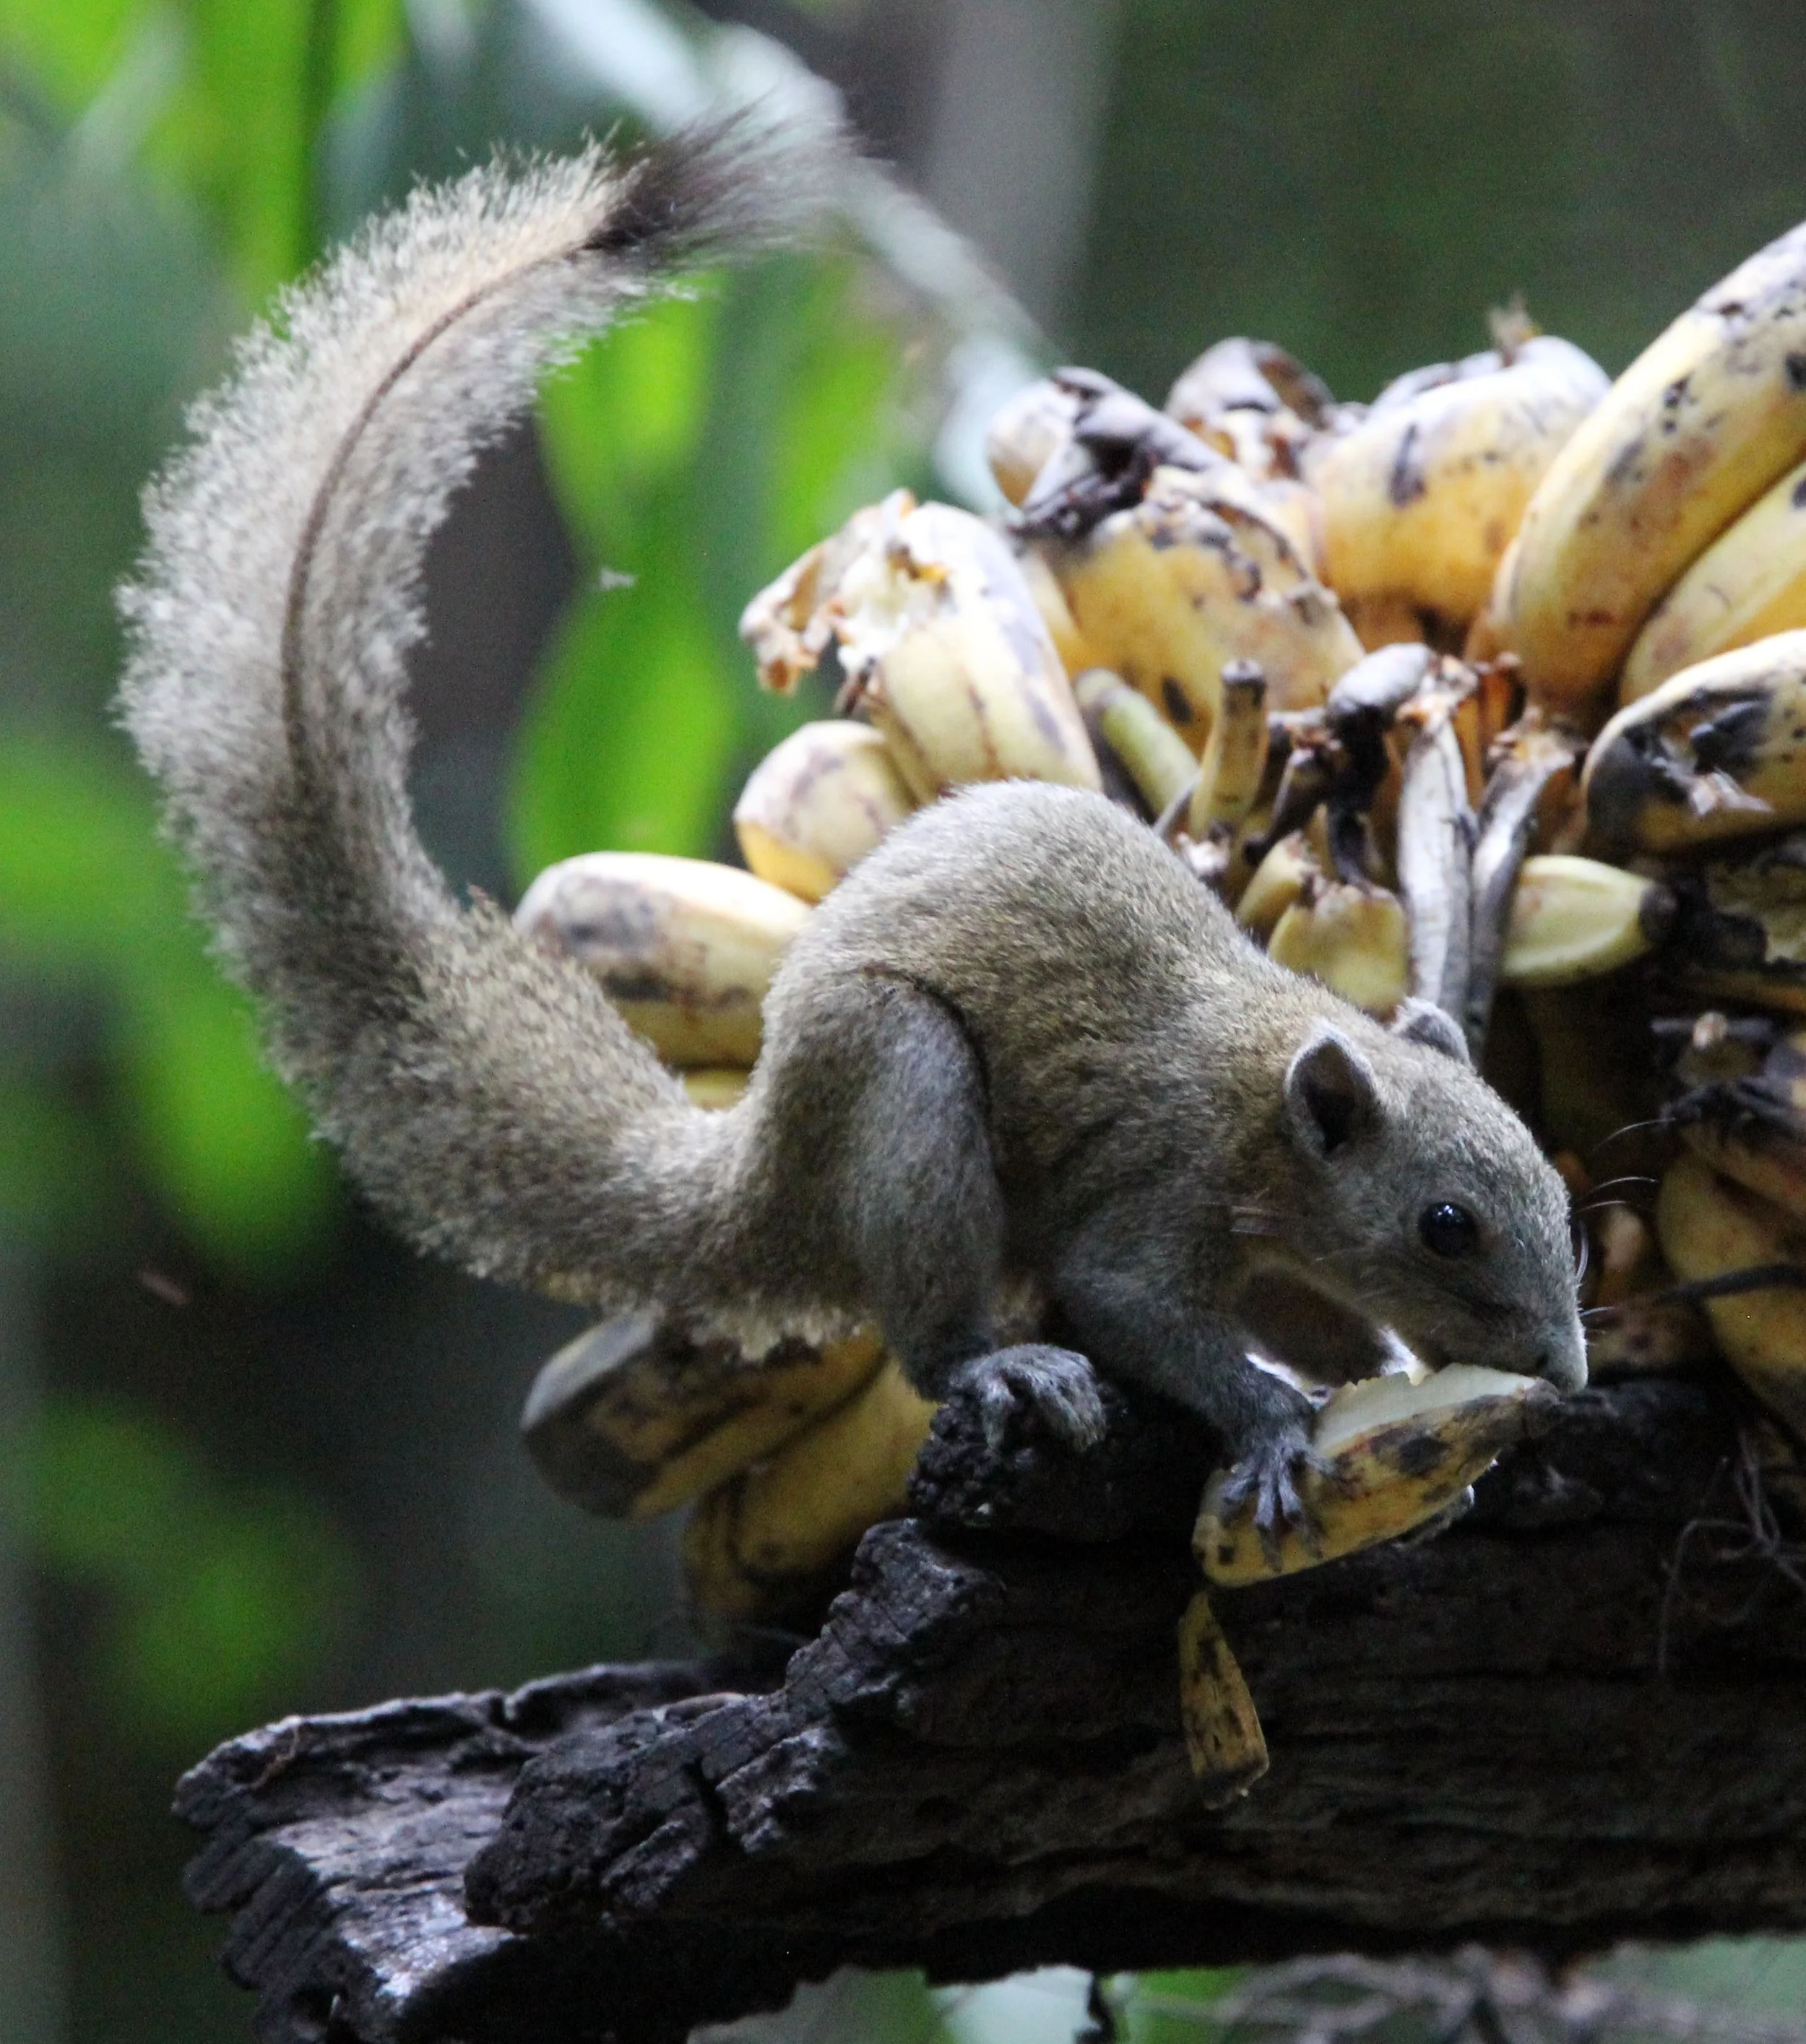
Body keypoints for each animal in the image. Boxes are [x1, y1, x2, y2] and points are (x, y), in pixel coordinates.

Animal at [118, 119, 1585, 1534]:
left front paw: (1395, 1397)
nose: (1567, 1373)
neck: (1267, 1093)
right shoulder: (1156, 1188)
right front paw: (1280, 1430)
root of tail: (766, 1165)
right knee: (934, 1337)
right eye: (1447, 1224)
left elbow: (1314, 1316)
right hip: (902, 1083)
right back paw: (1004, 1364)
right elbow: (1138, 1308)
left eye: (1561, 1197)